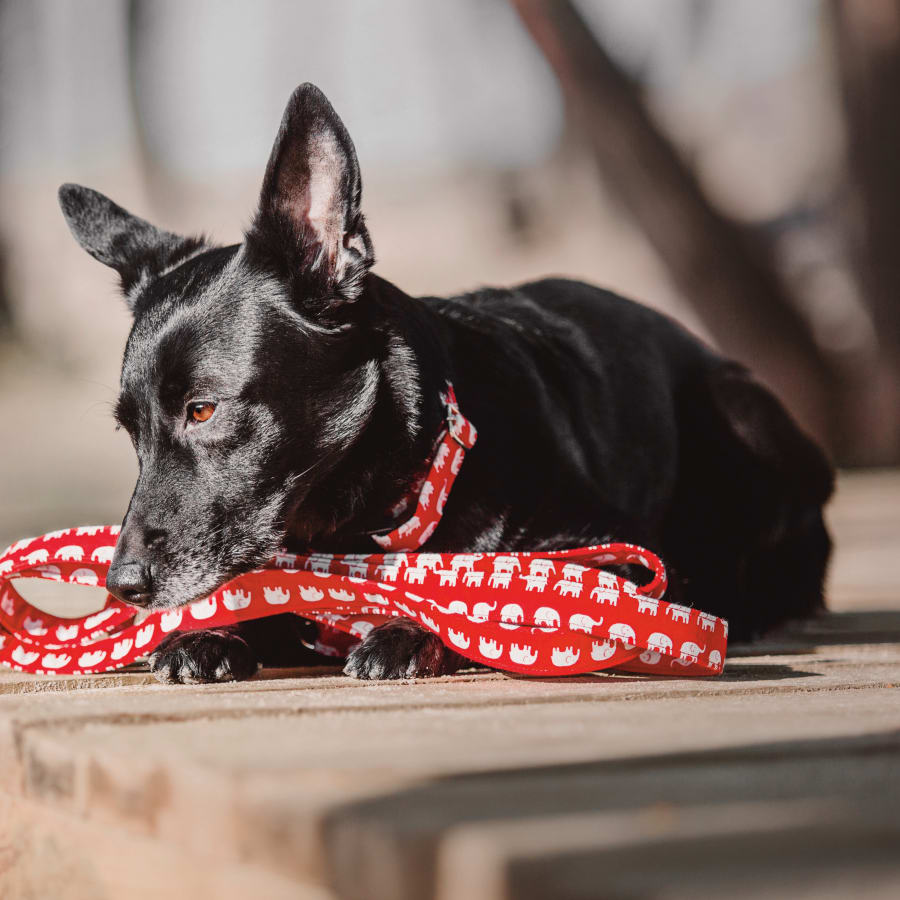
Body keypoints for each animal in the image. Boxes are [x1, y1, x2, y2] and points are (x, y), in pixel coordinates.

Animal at [56, 84, 832, 684]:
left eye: (202, 410)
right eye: (130, 431)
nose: (123, 587)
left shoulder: (613, 551)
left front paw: (413, 628)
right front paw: (203, 632)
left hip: (741, 413)